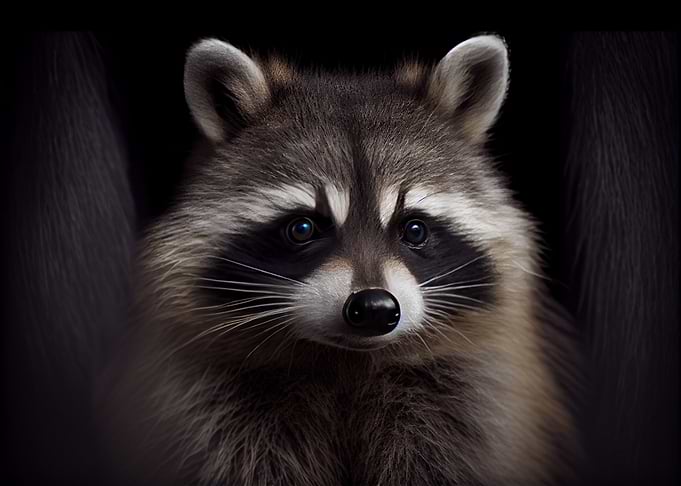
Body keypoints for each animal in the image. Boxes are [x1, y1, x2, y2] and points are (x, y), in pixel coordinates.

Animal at [98, 35, 580, 485]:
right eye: (303, 228)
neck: (347, 362)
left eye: (414, 229)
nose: (374, 308)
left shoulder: (472, 400)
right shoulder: (208, 404)